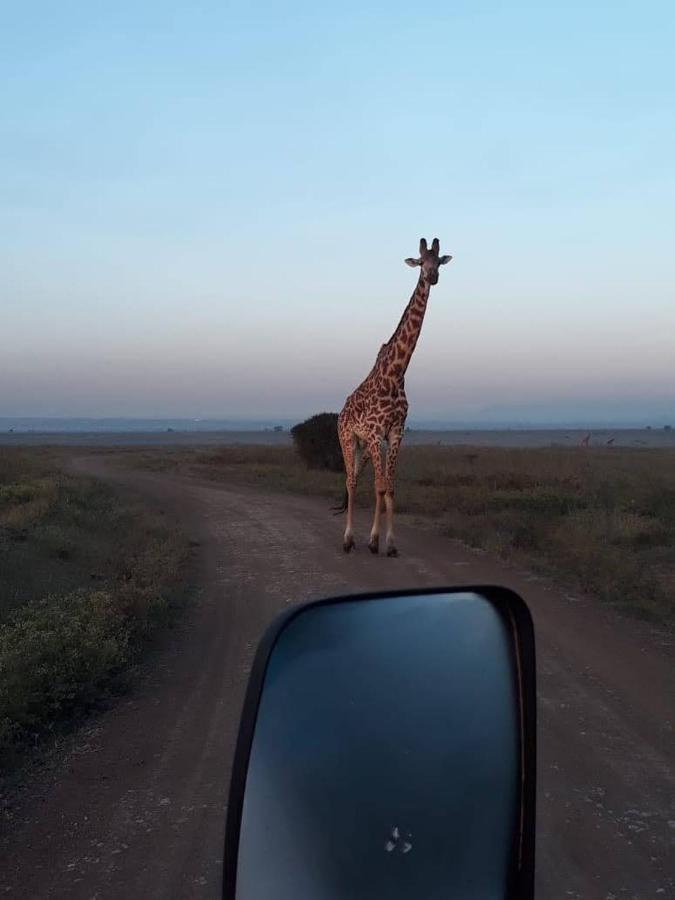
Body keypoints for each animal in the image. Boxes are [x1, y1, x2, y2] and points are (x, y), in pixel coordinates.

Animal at [336, 237, 452, 556]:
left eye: (438, 262)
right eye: (420, 262)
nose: (432, 277)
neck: (397, 372)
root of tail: (341, 410)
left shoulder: (396, 432)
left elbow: (389, 486)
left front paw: (387, 542)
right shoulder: (377, 432)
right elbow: (379, 486)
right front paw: (375, 540)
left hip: (363, 444)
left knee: (363, 479)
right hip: (348, 438)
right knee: (351, 481)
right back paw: (348, 539)